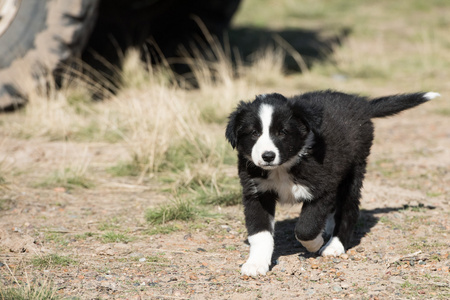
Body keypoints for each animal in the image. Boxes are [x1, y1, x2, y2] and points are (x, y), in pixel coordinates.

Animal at [225, 89, 440, 276]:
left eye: (282, 132)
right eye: (254, 133)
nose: (267, 156)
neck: (282, 168)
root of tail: (360, 103)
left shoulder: (322, 188)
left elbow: (305, 228)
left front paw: (316, 243)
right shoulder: (256, 193)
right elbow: (260, 234)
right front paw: (256, 264)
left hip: (353, 172)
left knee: (348, 211)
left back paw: (334, 245)